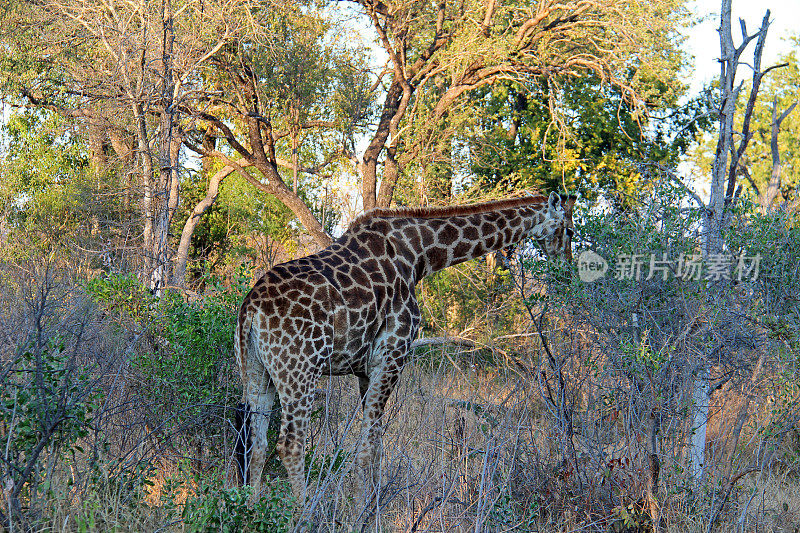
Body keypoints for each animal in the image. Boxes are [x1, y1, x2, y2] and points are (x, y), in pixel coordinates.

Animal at [231, 190, 576, 502]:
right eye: (570, 231)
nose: (567, 272)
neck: (420, 254)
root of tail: (251, 310)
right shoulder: (391, 356)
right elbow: (367, 447)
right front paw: (361, 512)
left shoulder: (365, 370)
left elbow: (377, 444)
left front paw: (370, 508)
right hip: (299, 371)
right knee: (290, 445)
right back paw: (303, 514)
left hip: (256, 372)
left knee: (255, 444)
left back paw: (251, 510)